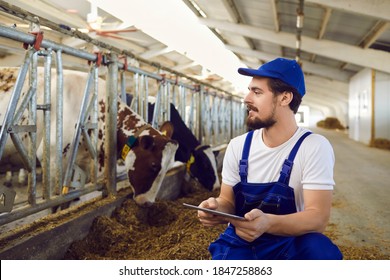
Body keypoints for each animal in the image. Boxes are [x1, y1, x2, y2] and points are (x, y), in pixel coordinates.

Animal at [0, 67, 179, 206]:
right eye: (154, 165)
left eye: (168, 165)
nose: (148, 203)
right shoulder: (52, 158)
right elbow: (55, 204)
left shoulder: (81, 166)